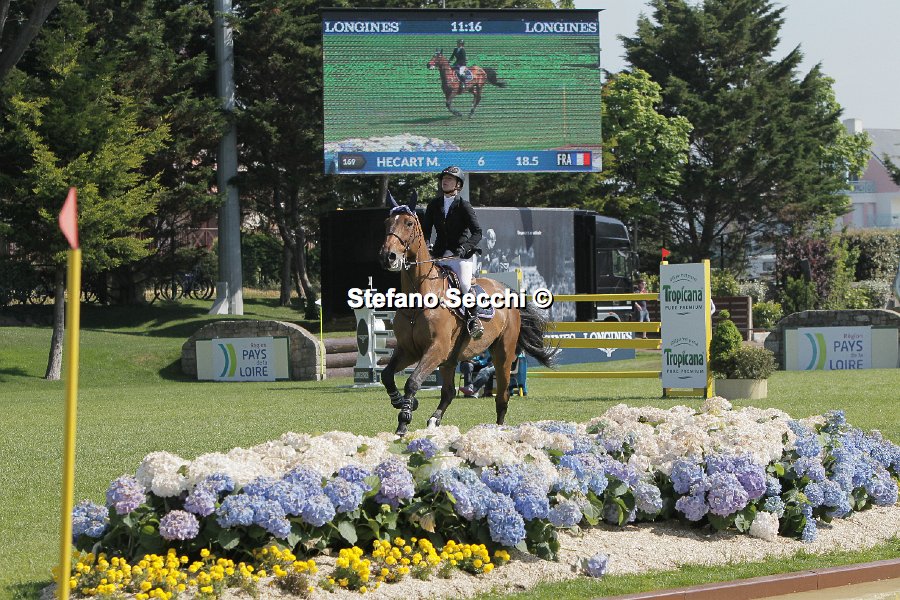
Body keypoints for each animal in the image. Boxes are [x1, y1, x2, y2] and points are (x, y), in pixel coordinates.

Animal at [379, 198, 556, 436]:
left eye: (408, 223)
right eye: (387, 222)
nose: (387, 256)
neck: (420, 296)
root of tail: (505, 288)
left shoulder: (436, 348)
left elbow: (413, 382)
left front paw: (404, 419)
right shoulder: (409, 350)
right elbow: (387, 376)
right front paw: (401, 403)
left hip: (503, 353)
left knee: (502, 395)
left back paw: (498, 431)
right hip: (450, 360)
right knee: (449, 392)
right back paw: (434, 421)